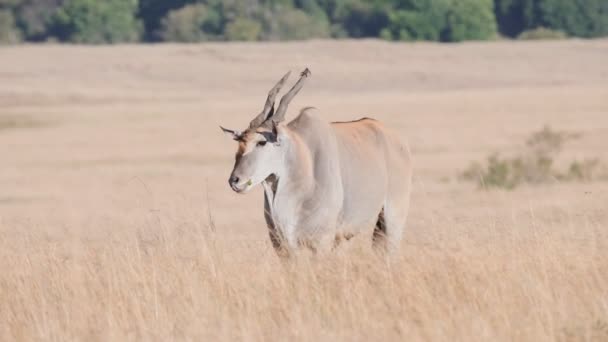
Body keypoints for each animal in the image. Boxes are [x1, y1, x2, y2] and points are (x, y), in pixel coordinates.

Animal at [221, 69, 410, 256]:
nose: (235, 180)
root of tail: (398, 142)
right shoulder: (283, 247)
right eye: (240, 143)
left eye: (261, 142)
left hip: (391, 221)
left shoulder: (321, 243)